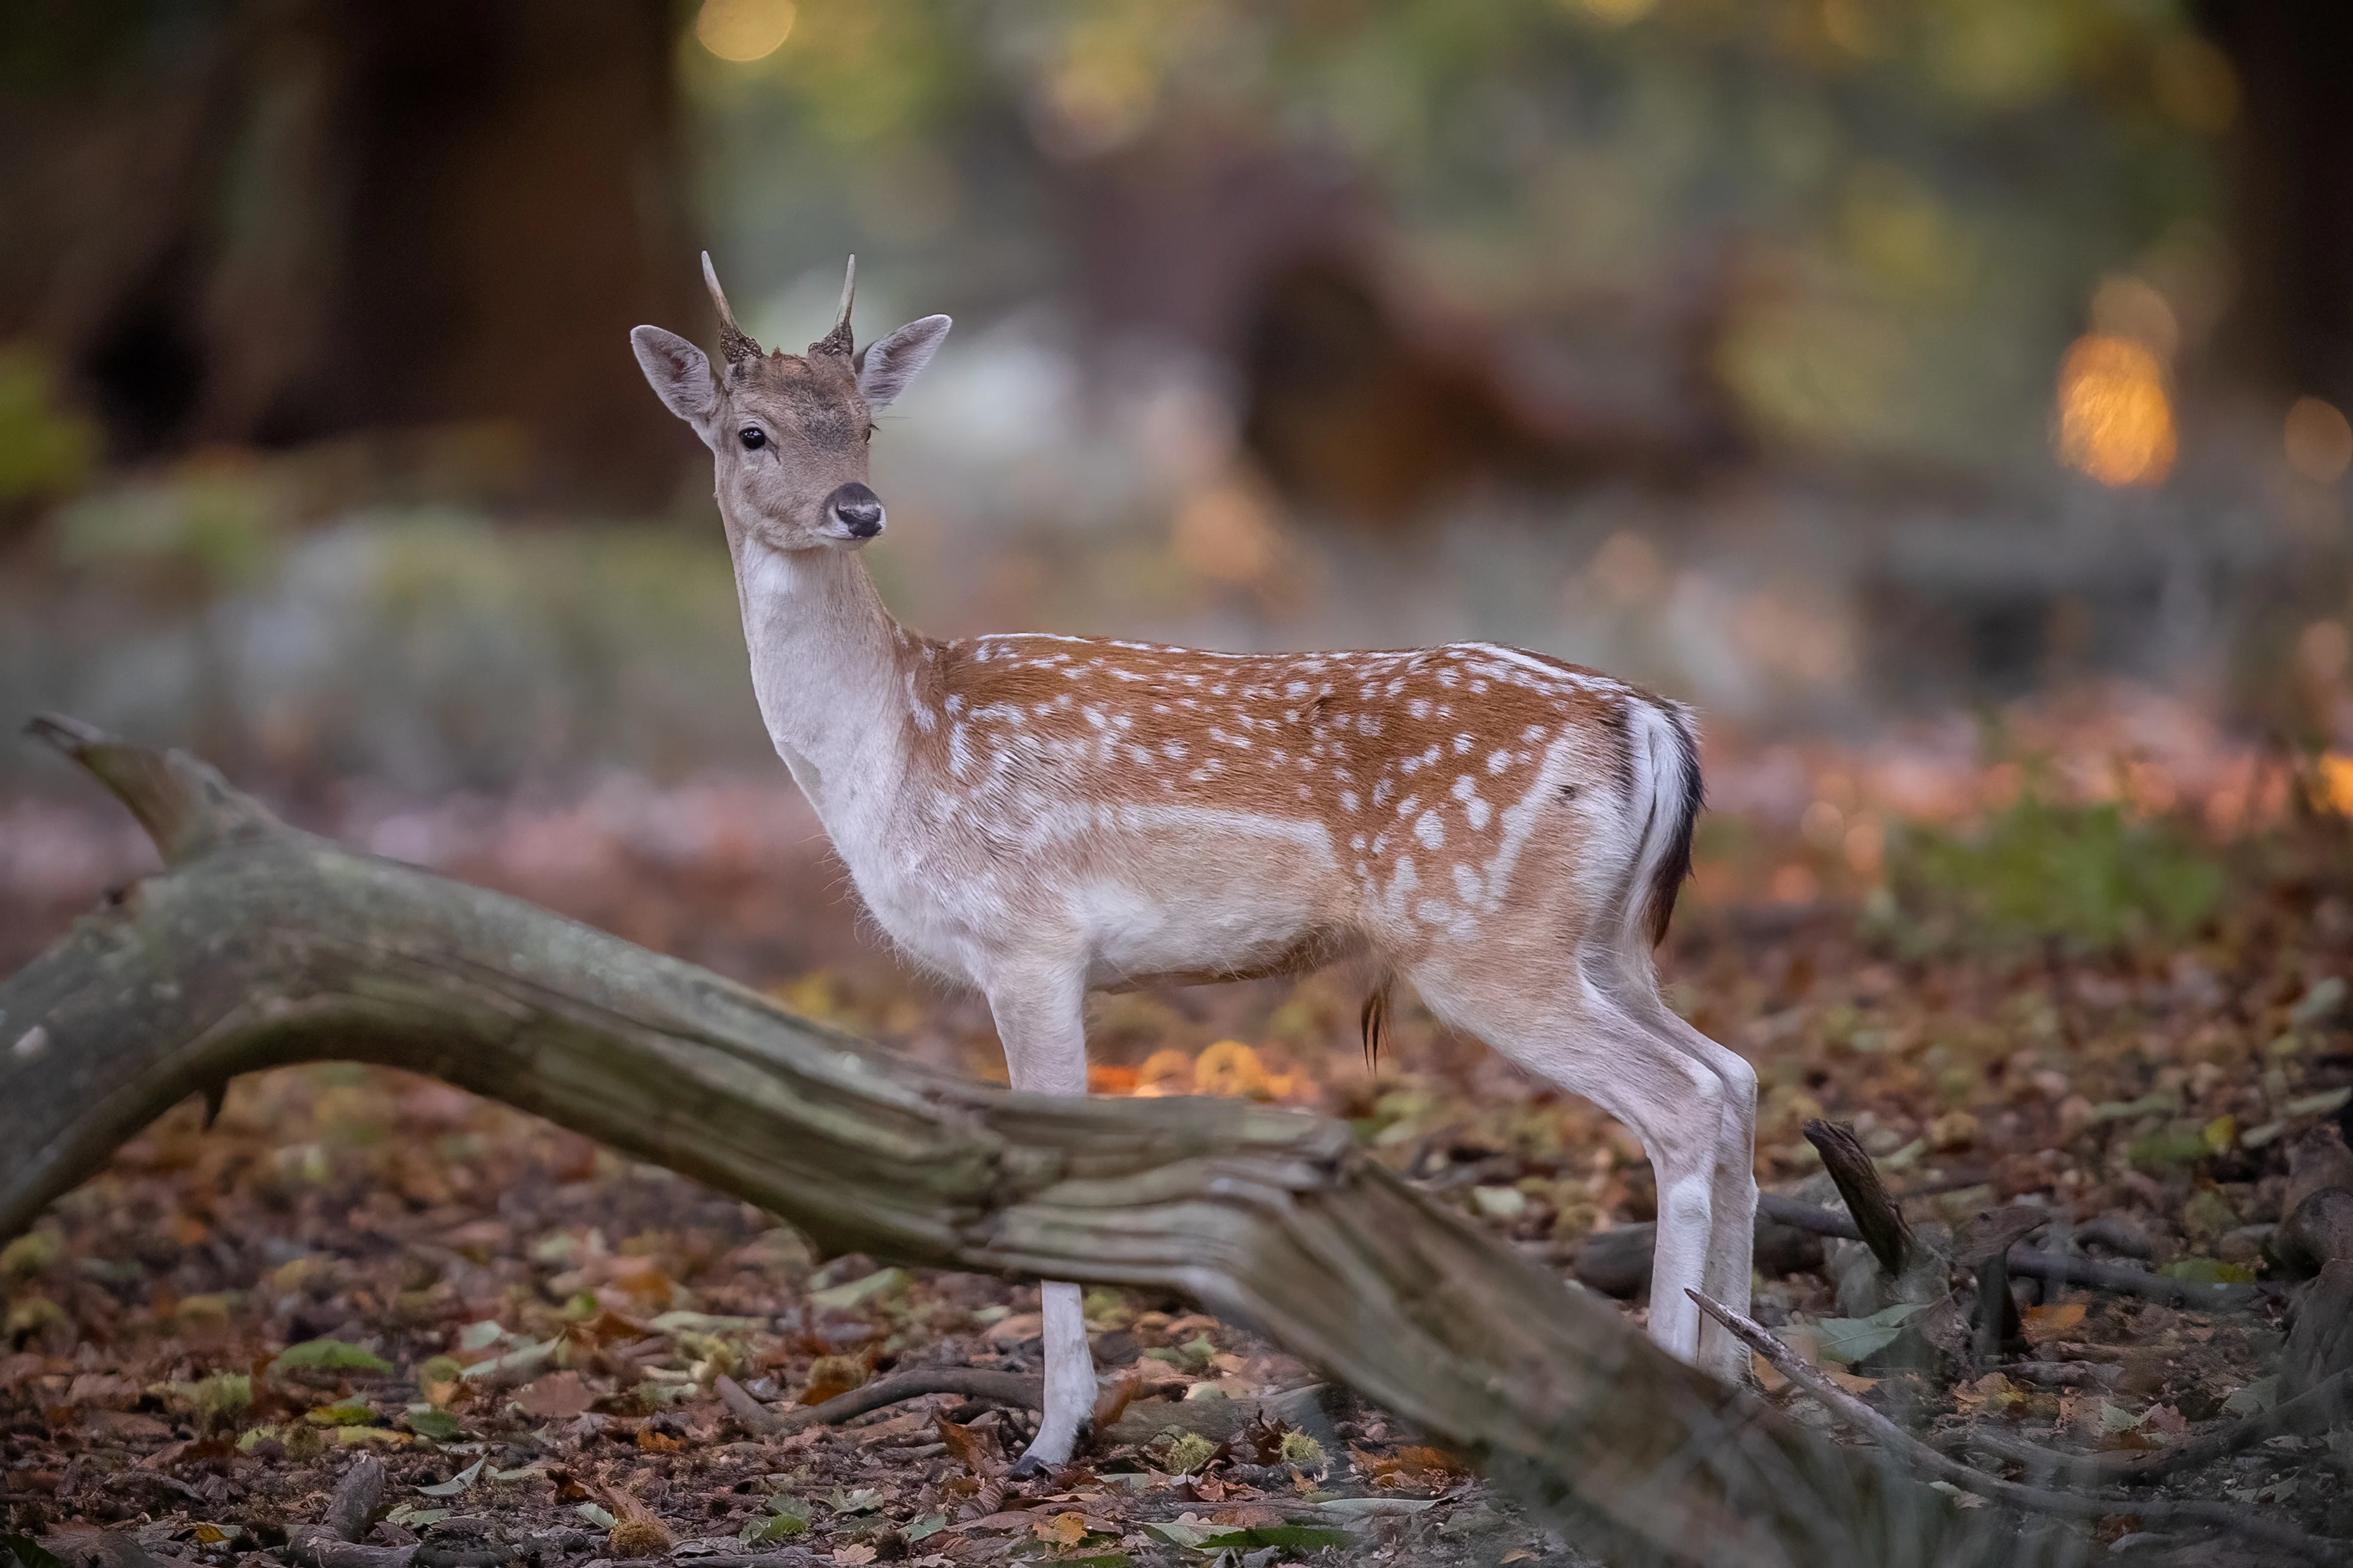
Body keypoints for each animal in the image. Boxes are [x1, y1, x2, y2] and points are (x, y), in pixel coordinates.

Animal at [630, 256, 1757, 1472]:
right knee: (1735, 1076)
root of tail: (1648, 717)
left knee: (1684, 1098)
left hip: (1487, 940)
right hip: (1609, 940)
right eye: (751, 432)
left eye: (867, 424)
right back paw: (1741, 1381)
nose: (858, 507)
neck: (890, 747)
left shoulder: (1028, 940)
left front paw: (1053, 1437)